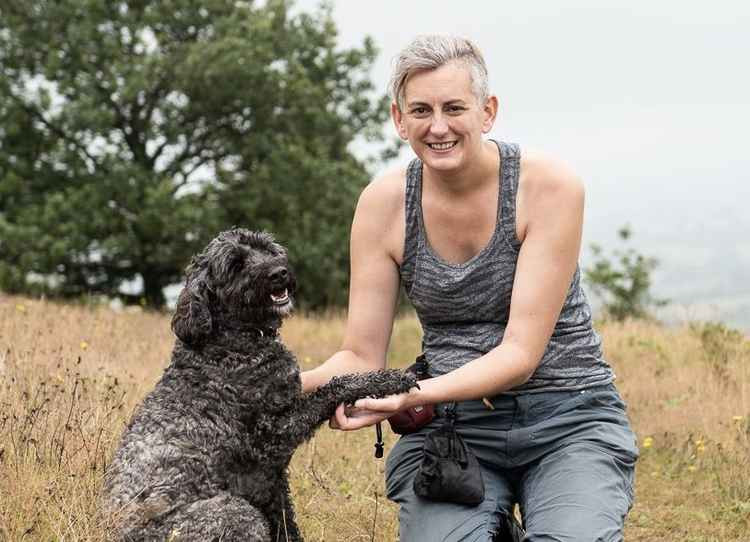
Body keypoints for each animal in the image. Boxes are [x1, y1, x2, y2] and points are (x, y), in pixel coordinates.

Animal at [101, 231, 418, 542]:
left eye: (265, 248)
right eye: (236, 264)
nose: (280, 272)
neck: (231, 339)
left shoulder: (271, 476)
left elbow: (286, 523)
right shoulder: (274, 437)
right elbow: (335, 386)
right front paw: (388, 379)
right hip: (237, 514)